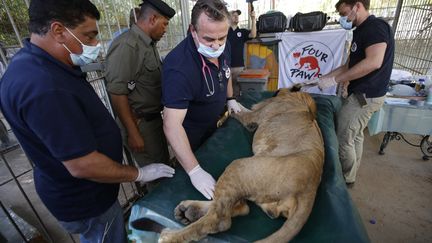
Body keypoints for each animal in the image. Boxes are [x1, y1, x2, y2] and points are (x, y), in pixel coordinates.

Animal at [159, 89, 324, 243]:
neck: (299, 98)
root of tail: (310, 190)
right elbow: (241, 108)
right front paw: (231, 107)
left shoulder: (254, 116)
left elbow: (239, 111)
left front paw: (230, 108)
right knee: (240, 207)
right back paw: (187, 211)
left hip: (239, 166)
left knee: (221, 219)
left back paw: (171, 234)